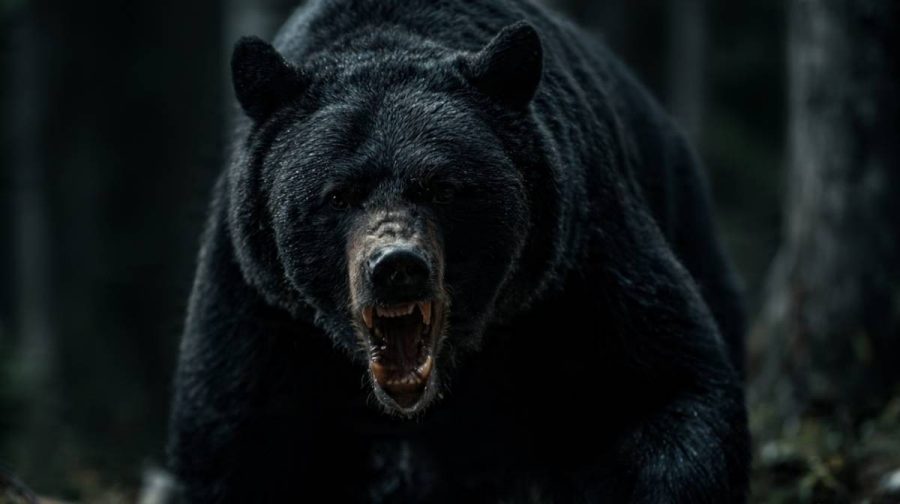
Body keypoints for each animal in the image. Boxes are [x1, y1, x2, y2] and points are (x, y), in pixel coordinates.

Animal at [167, 0, 750, 502]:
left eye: (441, 187)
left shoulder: (578, 268)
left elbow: (665, 387)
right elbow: (235, 443)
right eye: (338, 194)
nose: (396, 266)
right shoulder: (264, 308)